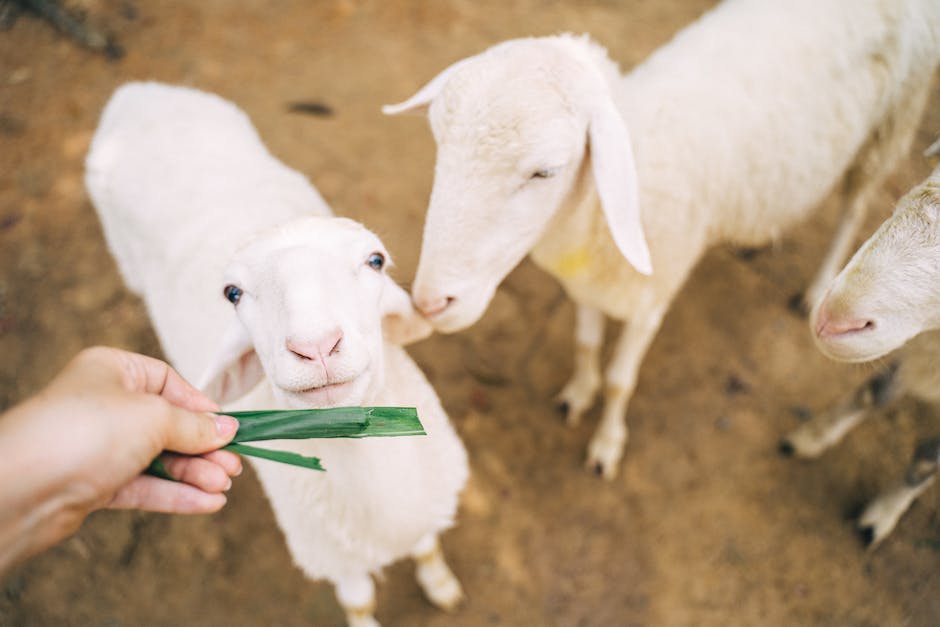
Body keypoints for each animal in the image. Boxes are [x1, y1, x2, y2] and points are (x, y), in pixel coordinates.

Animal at [86, 83, 468, 627]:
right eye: (232, 293)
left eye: (375, 260)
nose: (315, 346)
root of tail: (137, 91)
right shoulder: (333, 558)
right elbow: (360, 601)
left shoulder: (427, 504)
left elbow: (430, 547)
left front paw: (442, 587)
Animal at [380, 0, 940, 478]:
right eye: (438, 141)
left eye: (545, 172)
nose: (431, 302)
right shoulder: (589, 284)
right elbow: (586, 345)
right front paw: (578, 393)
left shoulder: (651, 299)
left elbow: (620, 381)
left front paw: (607, 444)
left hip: (892, 125)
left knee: (854, 205)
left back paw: (820, 286)